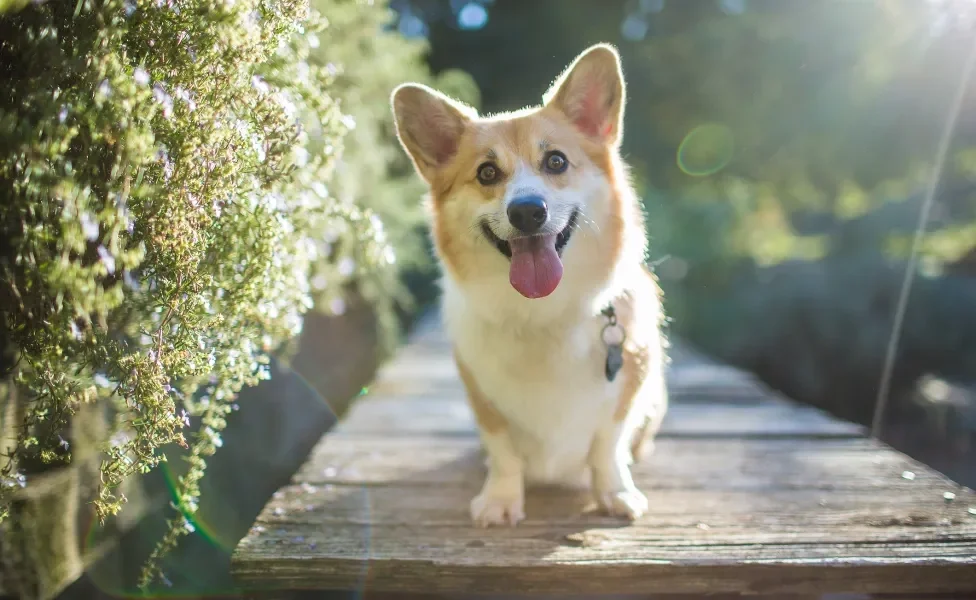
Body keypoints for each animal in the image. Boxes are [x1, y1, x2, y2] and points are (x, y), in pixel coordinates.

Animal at [392, 44, 668, 528]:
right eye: (486, 173)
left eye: (556, 161)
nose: (526, 211)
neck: (542, 310)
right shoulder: (483, 397)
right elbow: (503, 451)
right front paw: (500, 500)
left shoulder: (628, 387)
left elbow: (608, 446)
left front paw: (615, 493)